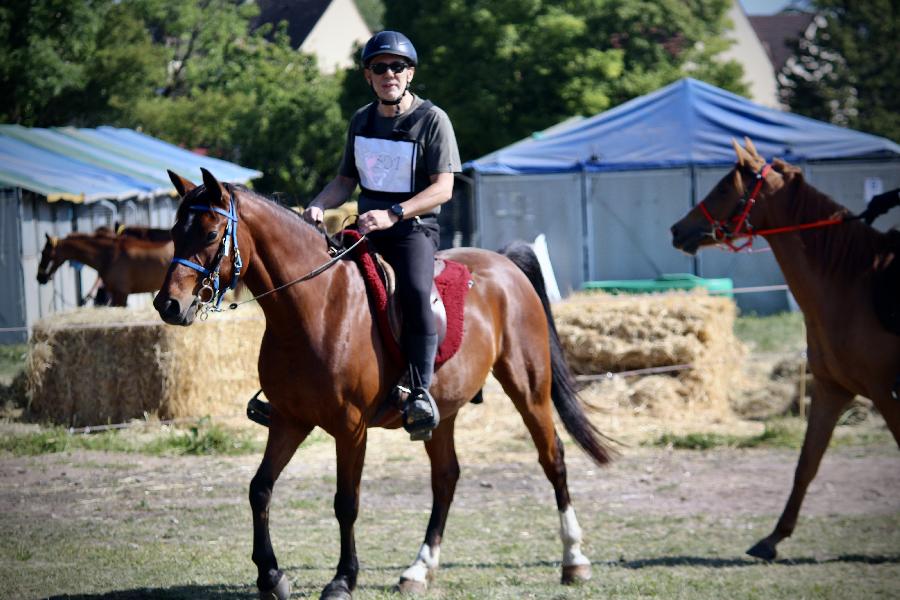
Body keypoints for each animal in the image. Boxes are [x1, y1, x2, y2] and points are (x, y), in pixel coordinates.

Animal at [156, 169, 620, 600]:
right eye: (174, 233)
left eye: (211, 233)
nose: (168, 305)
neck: (314, 306)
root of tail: (504, 263)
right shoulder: (289, 420)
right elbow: (260, 489)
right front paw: (271, 576)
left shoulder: (350, 428)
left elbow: (346, 502)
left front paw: (343, 580)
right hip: (443, 410)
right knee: (446, 476)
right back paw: (419, 569)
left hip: (529, 388)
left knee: (553, 458)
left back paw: (574, 559)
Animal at [672, 138, 896, 560]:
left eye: (723, 188)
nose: (677, 229)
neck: (851, 282)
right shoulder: (831, 389)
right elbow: (806, 463)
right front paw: (773, 538)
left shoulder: (885, 393)